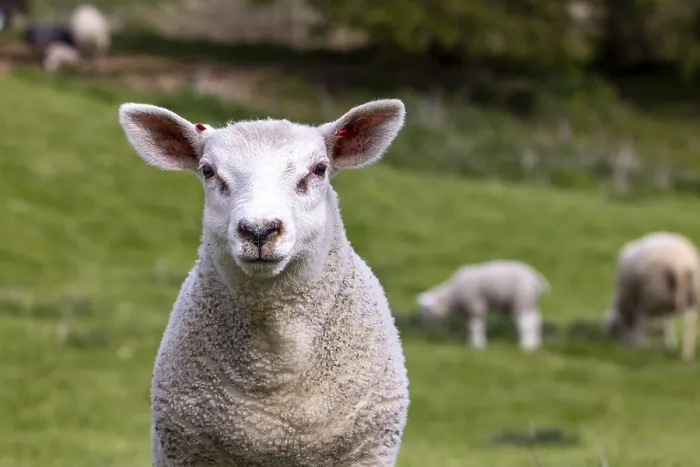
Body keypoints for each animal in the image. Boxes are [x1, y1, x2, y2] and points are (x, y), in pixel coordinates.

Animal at [417, 260, 550, 351]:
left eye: (426, 311)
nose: (427, 329)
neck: (453, 296)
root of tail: (536, 279)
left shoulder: (475, 304)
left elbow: (476, 325)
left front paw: (478, 345)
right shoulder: (468, 310)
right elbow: (470, 325)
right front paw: (472, 341)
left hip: (522, 298)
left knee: (526, 321)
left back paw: (527, 346)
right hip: (530, 301)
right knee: (536, 319)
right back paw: (536, 342)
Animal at [602, 231, 700, 360]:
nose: (607, 335)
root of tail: (681, 264)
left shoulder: (634, 299)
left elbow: (639, 321)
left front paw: (633, 341)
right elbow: (666, 321)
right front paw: (668, 342)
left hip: (652, 290)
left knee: (643, 316)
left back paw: (642, 343)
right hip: (690, 295)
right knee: (688, 321)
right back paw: (686, 353)